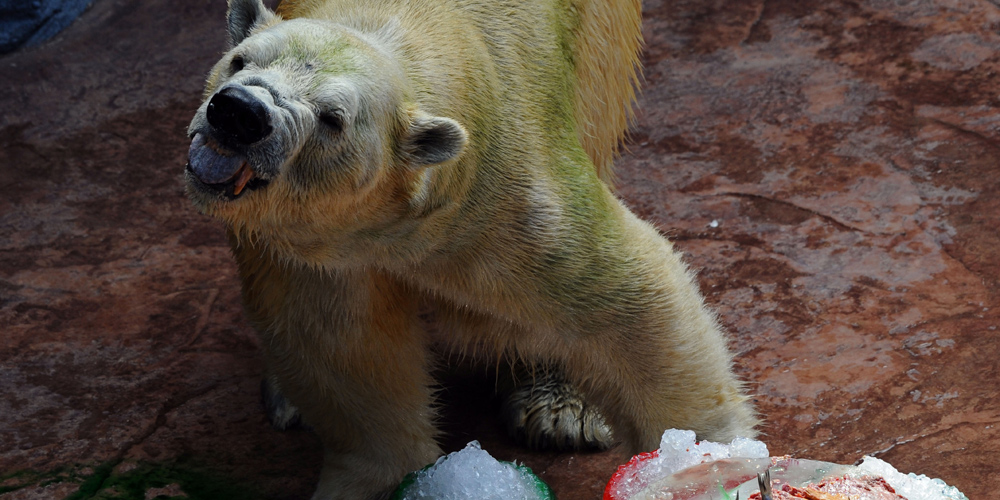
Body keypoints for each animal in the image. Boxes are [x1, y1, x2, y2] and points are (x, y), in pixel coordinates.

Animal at [184, 0, 756, 498]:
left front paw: (702, 462)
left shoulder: (511, 198)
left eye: (332, 118)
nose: (239, 112)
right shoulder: (319, 249)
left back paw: (563, 407)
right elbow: (340, 344)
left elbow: (631, 296)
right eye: (240, 60)